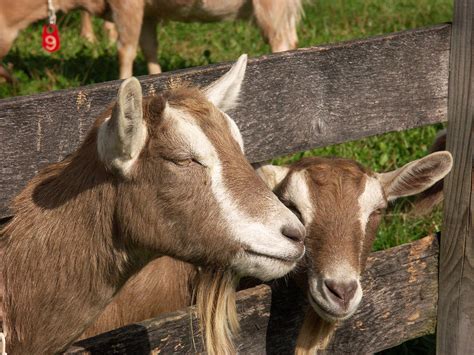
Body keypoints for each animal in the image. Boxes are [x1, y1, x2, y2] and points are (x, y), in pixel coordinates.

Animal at [0, 0, 304, 81]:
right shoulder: (147, 12)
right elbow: (149, 49)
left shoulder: (127, 6)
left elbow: (125, 50)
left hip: (271, 8)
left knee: (281, 44)